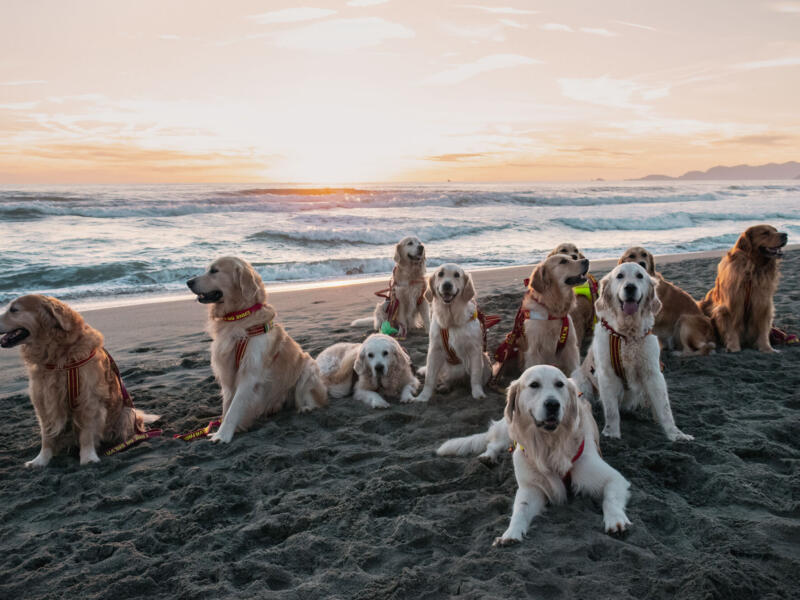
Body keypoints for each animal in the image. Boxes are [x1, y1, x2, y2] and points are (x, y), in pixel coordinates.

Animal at [186, 255, 326, 442]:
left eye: (214, 271)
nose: (188, 282)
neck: (237, 317)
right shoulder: (227, 372)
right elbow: (227, 407)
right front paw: (223, 430)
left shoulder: (249, 373)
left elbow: (233, 409)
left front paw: (222, 435)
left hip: (308, 367)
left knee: (314, 399)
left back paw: (306, 407)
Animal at [416, 264, 490, 400]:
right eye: (440, 274)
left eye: (457, 275)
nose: (447, 285)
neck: (451, 320)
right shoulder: (434, 350)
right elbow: (429, 378)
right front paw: (423, 397)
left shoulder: (475, 350)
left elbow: (475, 376)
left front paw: (478, 393)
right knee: (446, 380)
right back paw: (445, 387)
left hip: (486, 360)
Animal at [438, 364, 632, 548]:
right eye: (534, 385)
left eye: (559, 384)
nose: (553, 404)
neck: (549, 442)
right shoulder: (531, 487)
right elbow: (520, 509)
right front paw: (510, 534)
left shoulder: (613, 478)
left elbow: (610, 499)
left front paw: (616, 520)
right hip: (508, 426)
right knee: (494, 443)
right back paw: (488, 456)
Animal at [580, 262, 692, 440]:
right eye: (619, 276)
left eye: (640, 276)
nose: (630, 287)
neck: (627, 335)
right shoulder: (606, 374)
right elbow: (611, 410)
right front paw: (611, 433)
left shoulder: (653, 373)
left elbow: (665, 408)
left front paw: (676, 434)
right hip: (582, 384)